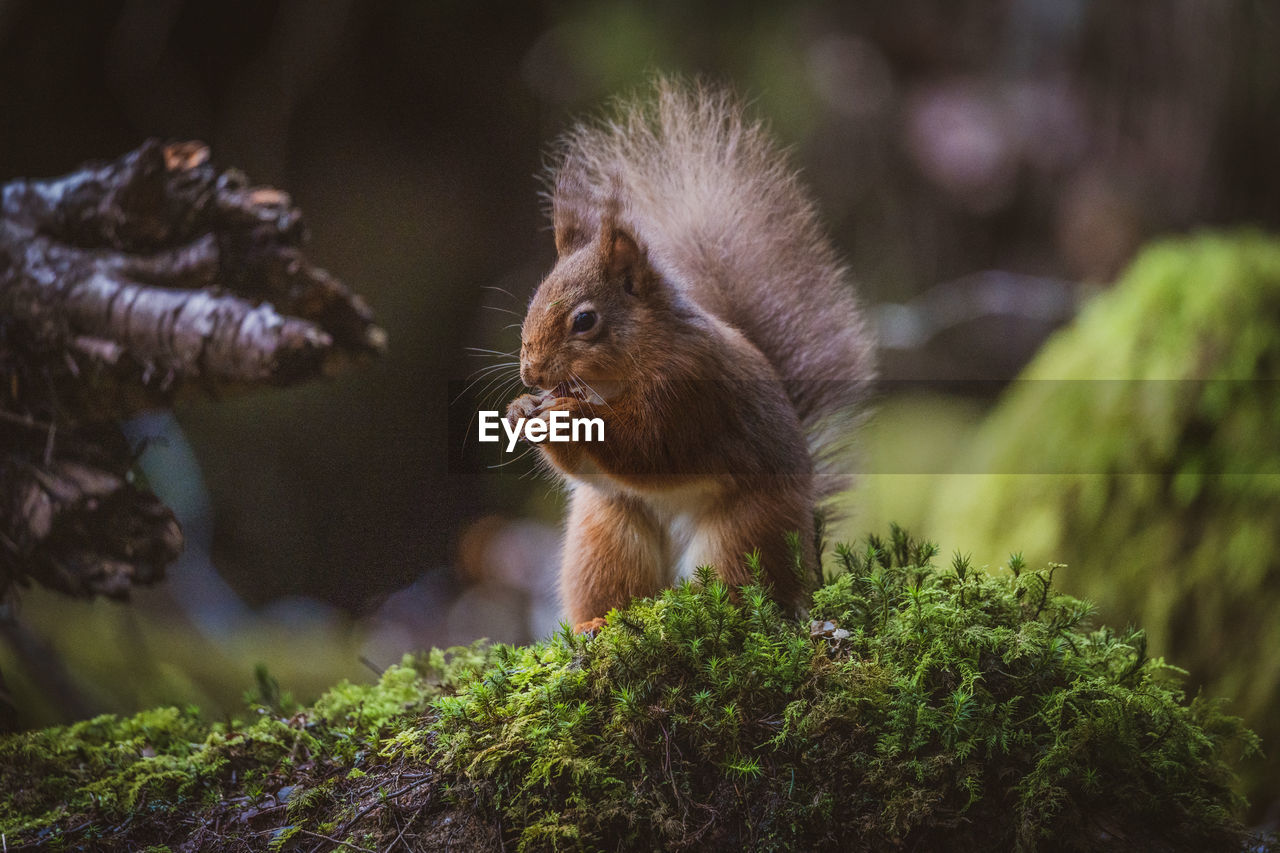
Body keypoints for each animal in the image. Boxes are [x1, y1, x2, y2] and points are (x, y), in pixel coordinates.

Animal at [504, 78, 875, 630]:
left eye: (585, 321)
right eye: (533, 299)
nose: (531, 374)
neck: (620, 376)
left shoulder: (691, 388)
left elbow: (652, 447)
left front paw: (565, 416)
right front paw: (519, 412)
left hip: (744, 532)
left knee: (744, 588)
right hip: (605, 533)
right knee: (617, 591)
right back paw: (595, 625)